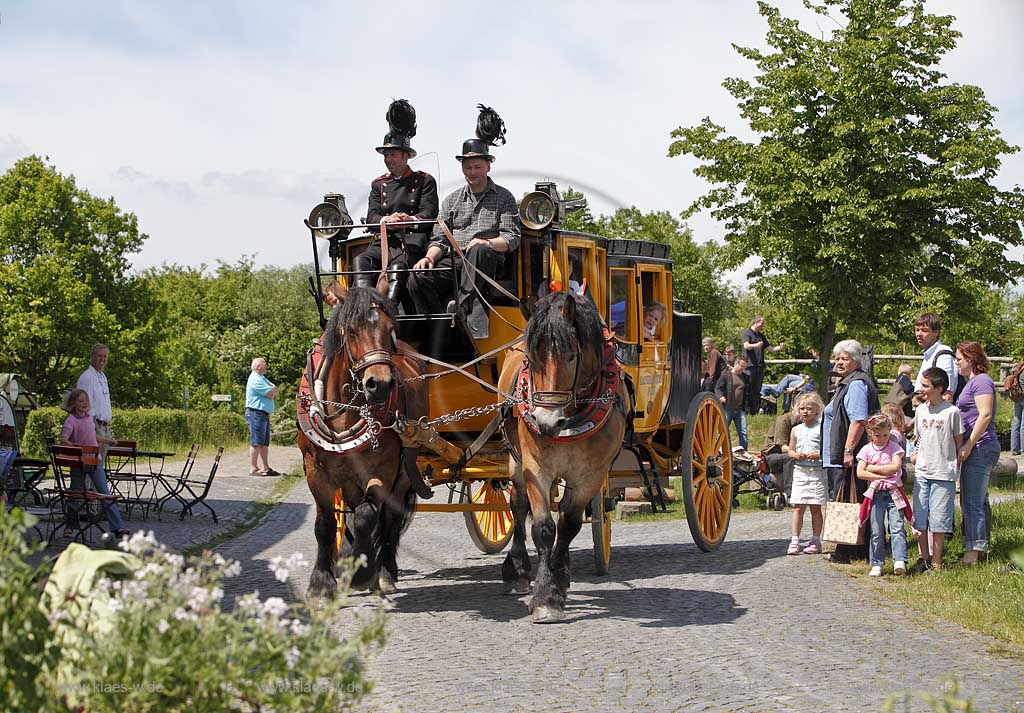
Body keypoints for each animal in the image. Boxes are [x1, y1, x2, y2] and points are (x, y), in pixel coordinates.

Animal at [296, 286, 428, 598]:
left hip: (404, 471)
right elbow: (325, 524)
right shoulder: (315, 471)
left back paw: (385, 572)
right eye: (352, 331)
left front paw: (363, 572)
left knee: (388, 519)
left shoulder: (383, 469)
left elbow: (367, 517)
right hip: (348, 479)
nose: (379, 384)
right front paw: (322, 581)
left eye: (390, 329)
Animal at [497, 292, 626, 622]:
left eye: (570, 356)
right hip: (515, 460)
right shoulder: (535, 467)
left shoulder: (592, 474)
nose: (545, 422)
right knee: (517, 506)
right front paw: (545, 597)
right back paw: (517, 570)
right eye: (532, 359)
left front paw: (557, 579)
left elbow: (569, 523)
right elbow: (543, 528)